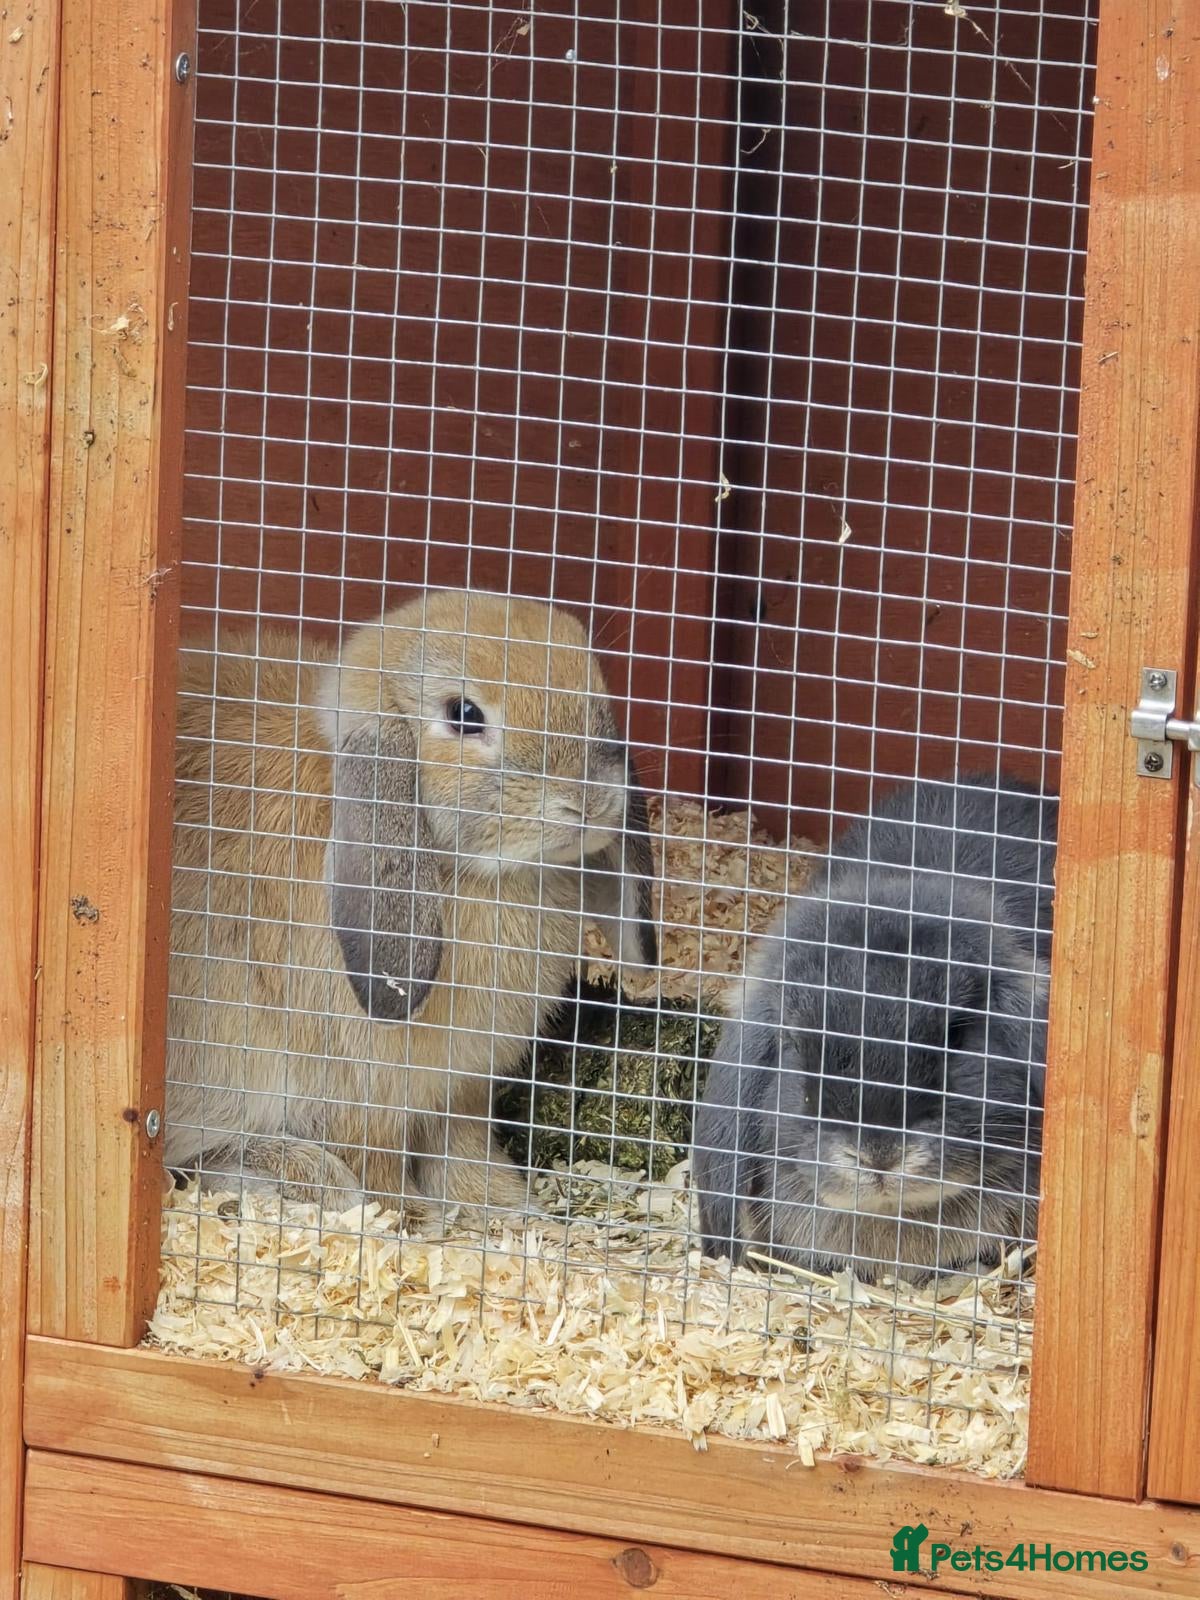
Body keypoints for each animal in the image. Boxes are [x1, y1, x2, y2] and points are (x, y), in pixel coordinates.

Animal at [165, 588, 658, 1227]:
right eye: (465, 715)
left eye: (599, 697)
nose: (591, 799)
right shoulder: (358, 1091)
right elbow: (378, 1164)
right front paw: (414, 1222)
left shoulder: (459, 1092)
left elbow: (467, 1153)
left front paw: (509, 1212)